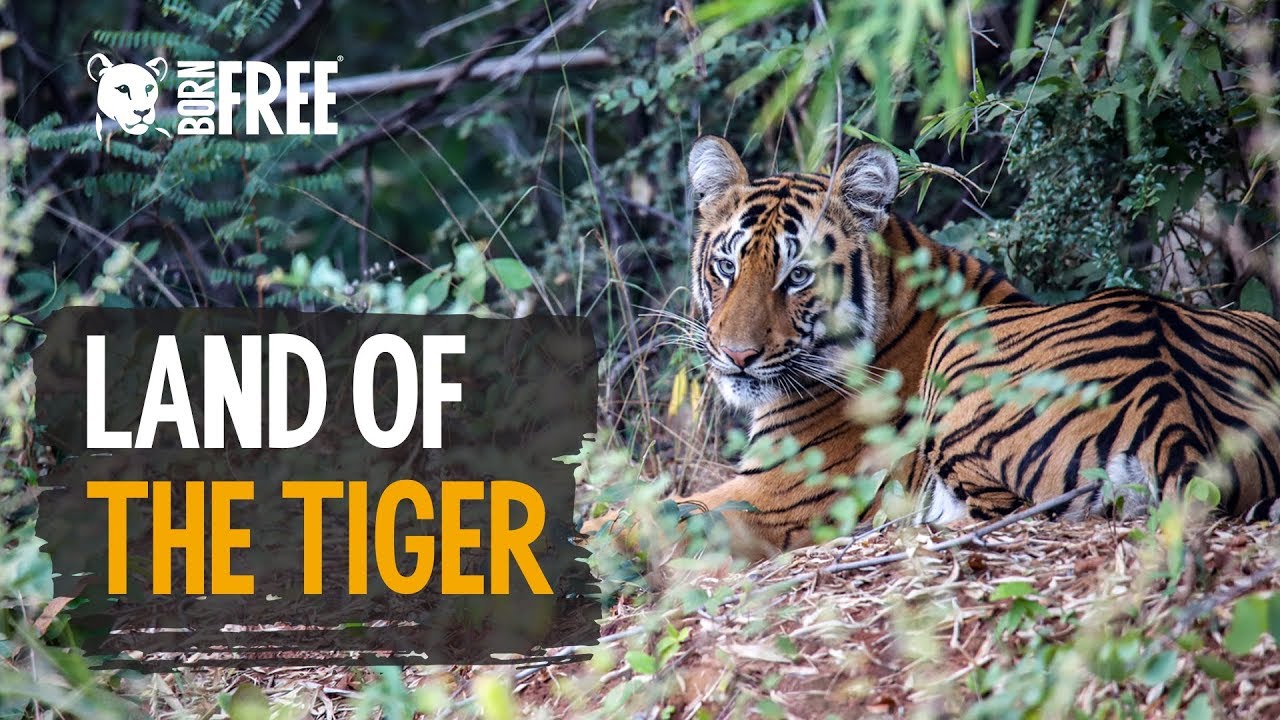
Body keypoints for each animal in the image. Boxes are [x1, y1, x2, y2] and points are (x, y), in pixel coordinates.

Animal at [583, 135, 1280, 560]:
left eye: (799, 275)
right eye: (727, 266)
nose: (736, 356)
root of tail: (1180, 423)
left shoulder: (777, 491)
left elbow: (640, 514)